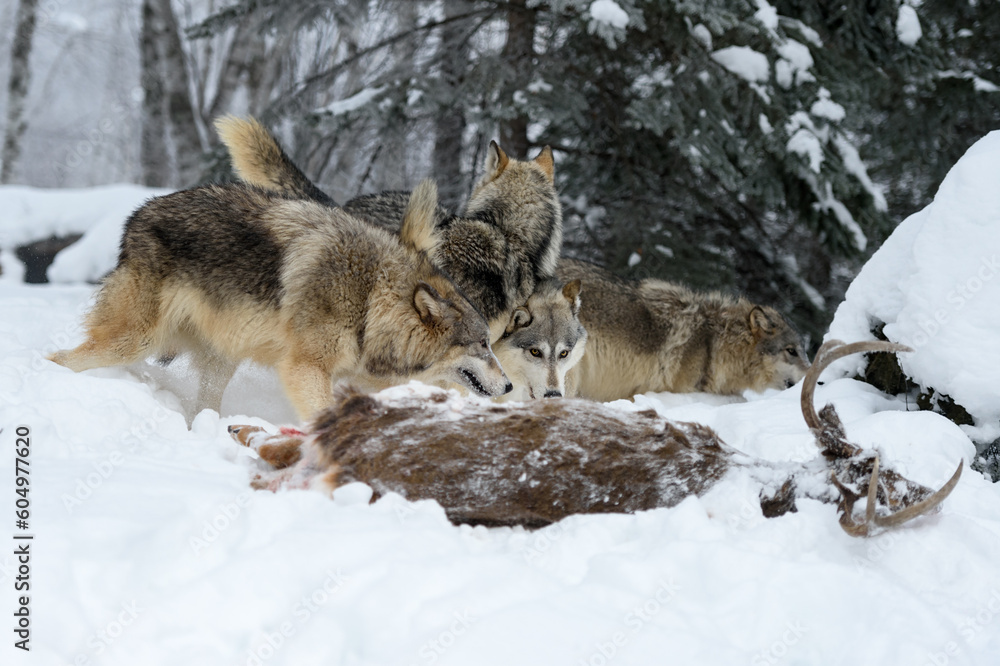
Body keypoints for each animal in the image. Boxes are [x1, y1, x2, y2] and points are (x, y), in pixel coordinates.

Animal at [48, 180, 511, 420]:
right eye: (482, 345)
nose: (509, 385)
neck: (370, 296)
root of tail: (137, 216)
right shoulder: (305, 368)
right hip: (134, 341)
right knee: (61, 359)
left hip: (220, 361)